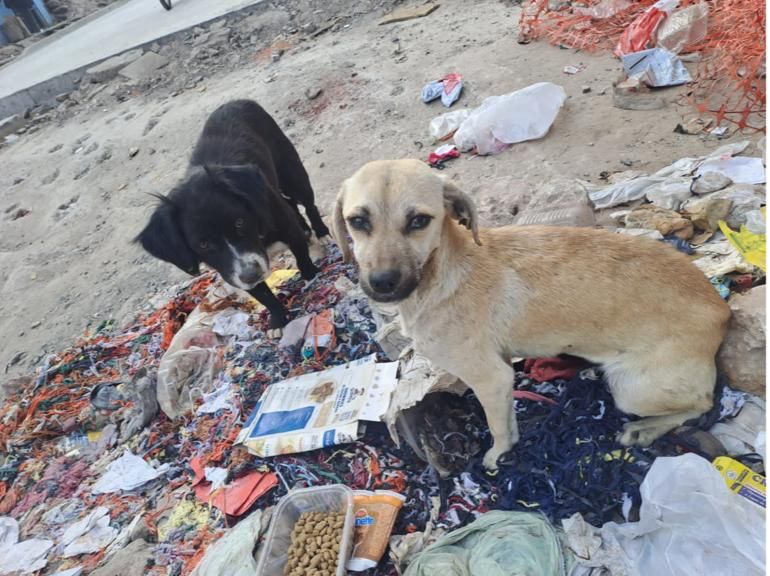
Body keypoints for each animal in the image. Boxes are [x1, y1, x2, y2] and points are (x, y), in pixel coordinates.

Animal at [136, 99, 328, 332]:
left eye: (239, 222)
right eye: (203, 244)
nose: (252, 274)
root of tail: (236, 101)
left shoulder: (285, 227)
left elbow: (300, 254)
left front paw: (310, 274)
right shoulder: (230, 270)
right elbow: (263, 295)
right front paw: (278, 320)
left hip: (292, 174)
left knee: (308, 204)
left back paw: (321, 232)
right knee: (292, 204)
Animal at [332, 158, 728, 468]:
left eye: (419, 221)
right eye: (358, 221)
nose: (382, 284)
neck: (444, 271)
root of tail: (721, 309)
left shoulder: (490, 378)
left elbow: (497, 428)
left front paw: (498, 456)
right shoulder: (504, 371)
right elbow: (508, 419)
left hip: (630, 388)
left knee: (703, 402)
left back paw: (645, 429)